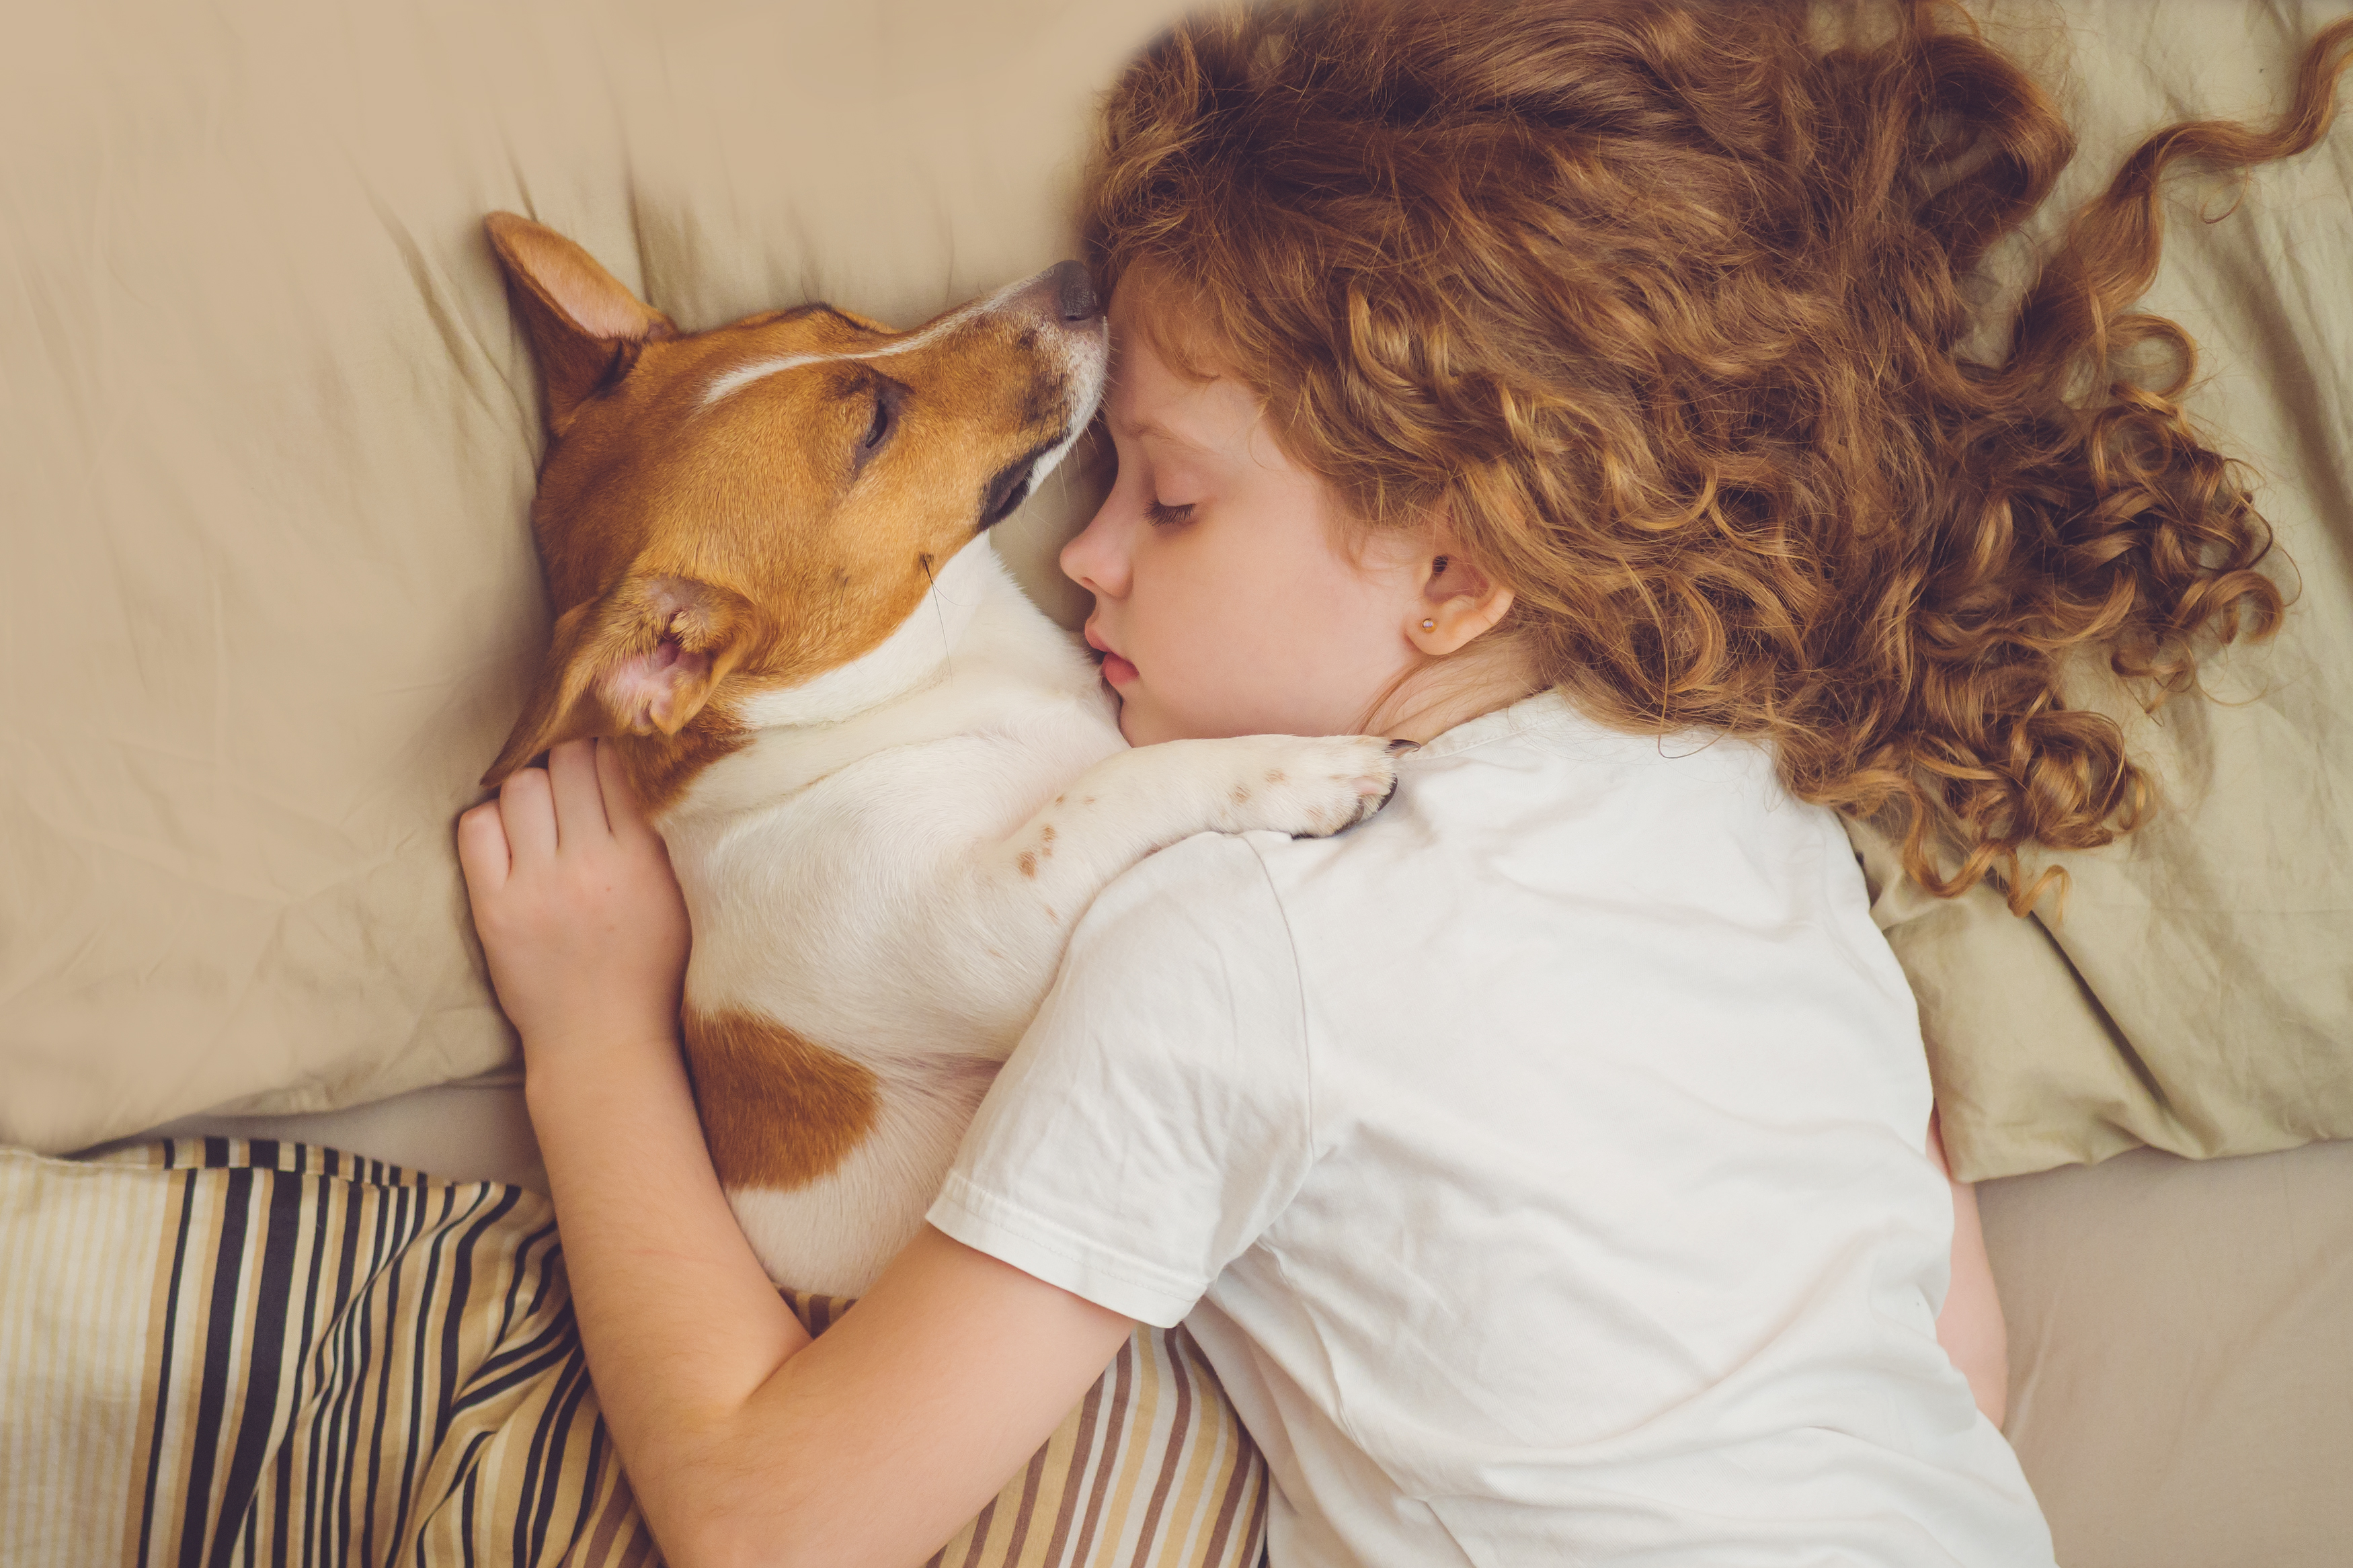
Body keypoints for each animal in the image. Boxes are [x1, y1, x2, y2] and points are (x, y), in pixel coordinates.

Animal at [475, 217, 1393, 1297]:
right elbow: (1116, 782)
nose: (1078, 277)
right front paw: (1299, 767)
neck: (909, 694)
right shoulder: (997, 931)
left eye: (830, 313)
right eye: (873, 425)